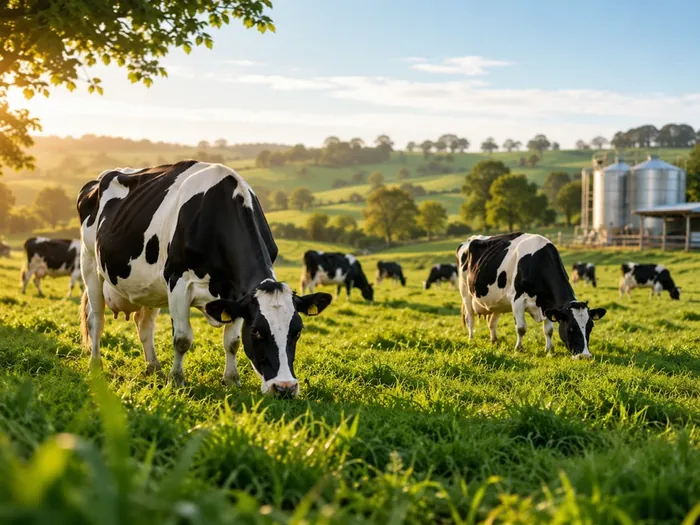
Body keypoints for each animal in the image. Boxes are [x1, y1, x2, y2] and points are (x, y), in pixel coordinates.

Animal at [77, 160, 332, 397]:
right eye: (256, 331)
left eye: (297, 331)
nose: (285, 388)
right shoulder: (178, 281)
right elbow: (182, 339)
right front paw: (176, 380)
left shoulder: (237, 295)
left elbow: (232, 341)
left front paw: (231, 379)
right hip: (89, 264)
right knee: (96, 320)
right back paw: (96, 365)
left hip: (149, 286)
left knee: (145, 325)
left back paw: (154, 368)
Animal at [457, 232, 607, 358]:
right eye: (570, 328)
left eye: (590, 327)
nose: (585, 356)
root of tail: (470, 239)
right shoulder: (517, 300)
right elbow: (521, 328)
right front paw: (519, 349)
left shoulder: (548, 304)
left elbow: (548, 330)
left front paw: (549, 349)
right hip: (465, 292)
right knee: (470, 318)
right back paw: (471, 339)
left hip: (496, 301)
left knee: (491, 322)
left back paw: (494, 341)